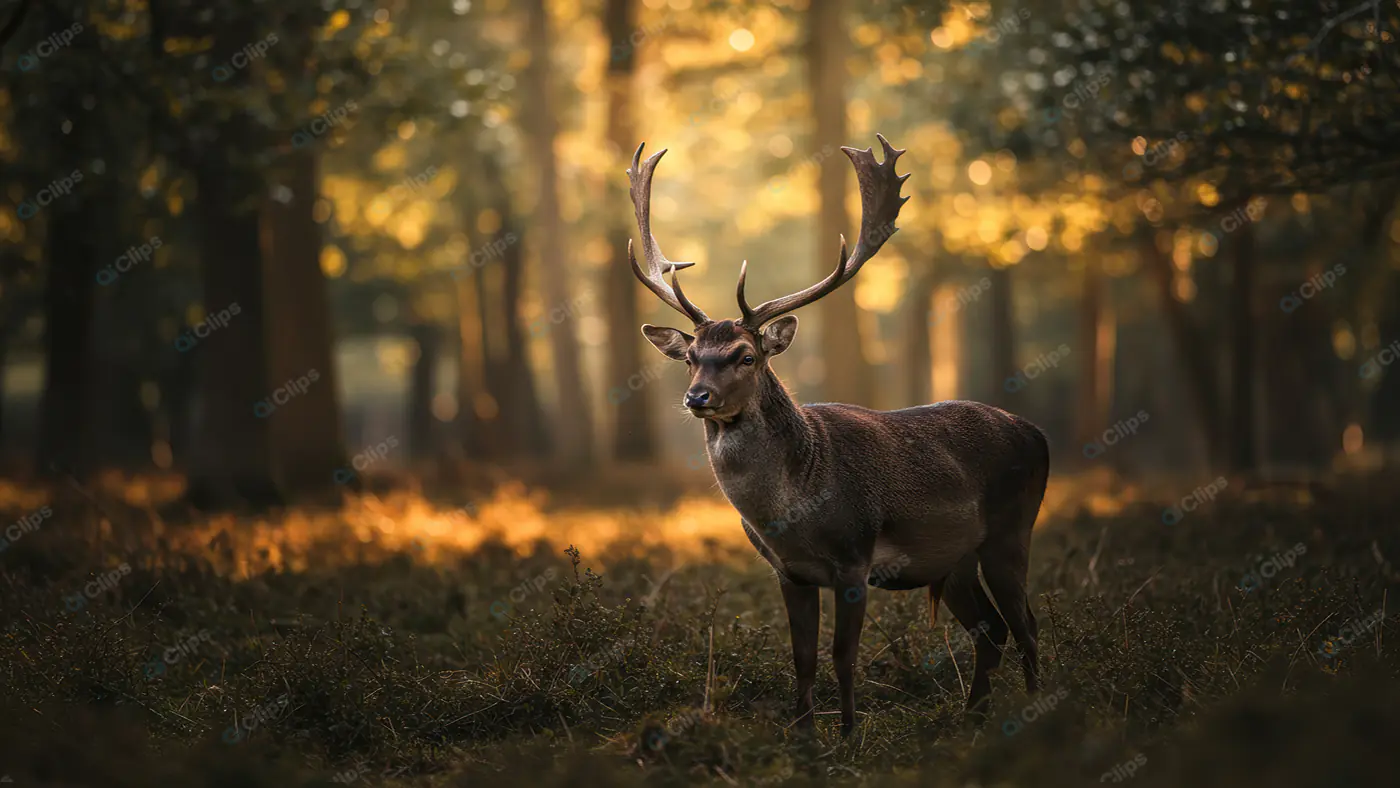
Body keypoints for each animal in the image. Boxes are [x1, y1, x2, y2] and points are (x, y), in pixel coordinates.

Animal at [624, 135, 1051, 737]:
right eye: (689, 358)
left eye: (746, 355)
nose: (697, 398)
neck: (796, 511)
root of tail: (1037, 434)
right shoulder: (790, 573)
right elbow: (802, 657)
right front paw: (804, 734)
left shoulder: (854, 558)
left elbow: (842, 656)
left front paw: (848, 735)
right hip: (956, 560)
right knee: (990, 631)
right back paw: (973, 716)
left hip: (1012, 530)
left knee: (1027, 623)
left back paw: (1034, 710)